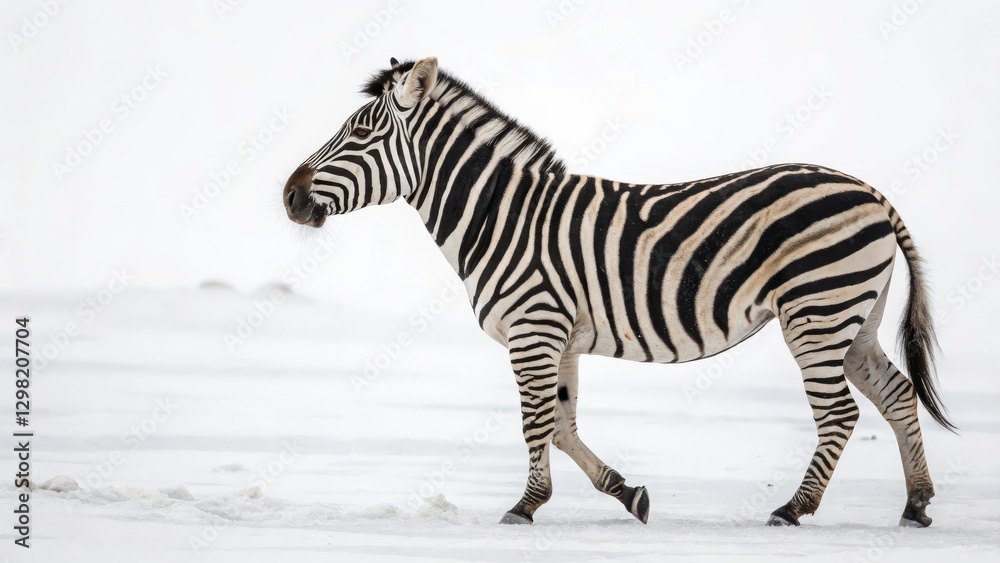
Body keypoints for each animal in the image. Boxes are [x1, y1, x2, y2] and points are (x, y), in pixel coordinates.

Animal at [283, 57, 954, 527]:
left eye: (358, 135)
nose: (289, 196)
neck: (502, 216)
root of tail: (872, 192)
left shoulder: (534, 329)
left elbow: (535, 422)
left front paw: (524, 506)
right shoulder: (559, 338)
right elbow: (560, 423)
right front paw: (627, 494)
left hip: (816, 310)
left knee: (840, 412)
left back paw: (794, 509)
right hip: (852, 317)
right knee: (897, 395)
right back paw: (916, 504)